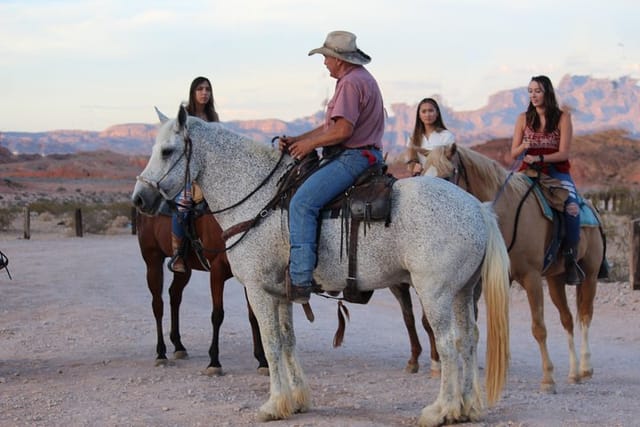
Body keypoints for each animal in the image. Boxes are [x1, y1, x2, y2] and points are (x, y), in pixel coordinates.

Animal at [135, 211, 268, 378]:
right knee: (158, 305)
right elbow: (217, 315)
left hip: (183, 269)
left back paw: (178, 346)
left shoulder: (248, 274)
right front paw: (214, 363)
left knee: (175, 295)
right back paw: (161, 353)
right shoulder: (217, 269)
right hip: (153, 260)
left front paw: (262, 361)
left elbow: (254, 317)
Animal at [422, 144, 608, 394]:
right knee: (567, 319)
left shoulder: (531, 278)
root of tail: (592, 209)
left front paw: (547, 379)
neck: (506, 217)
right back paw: (574, 372)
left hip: (589, 276)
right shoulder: (496, 279)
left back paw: (586, 367)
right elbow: (496, 327)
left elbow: (538, 327)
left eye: (446, 176)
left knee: (586, 315)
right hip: (556, 280)